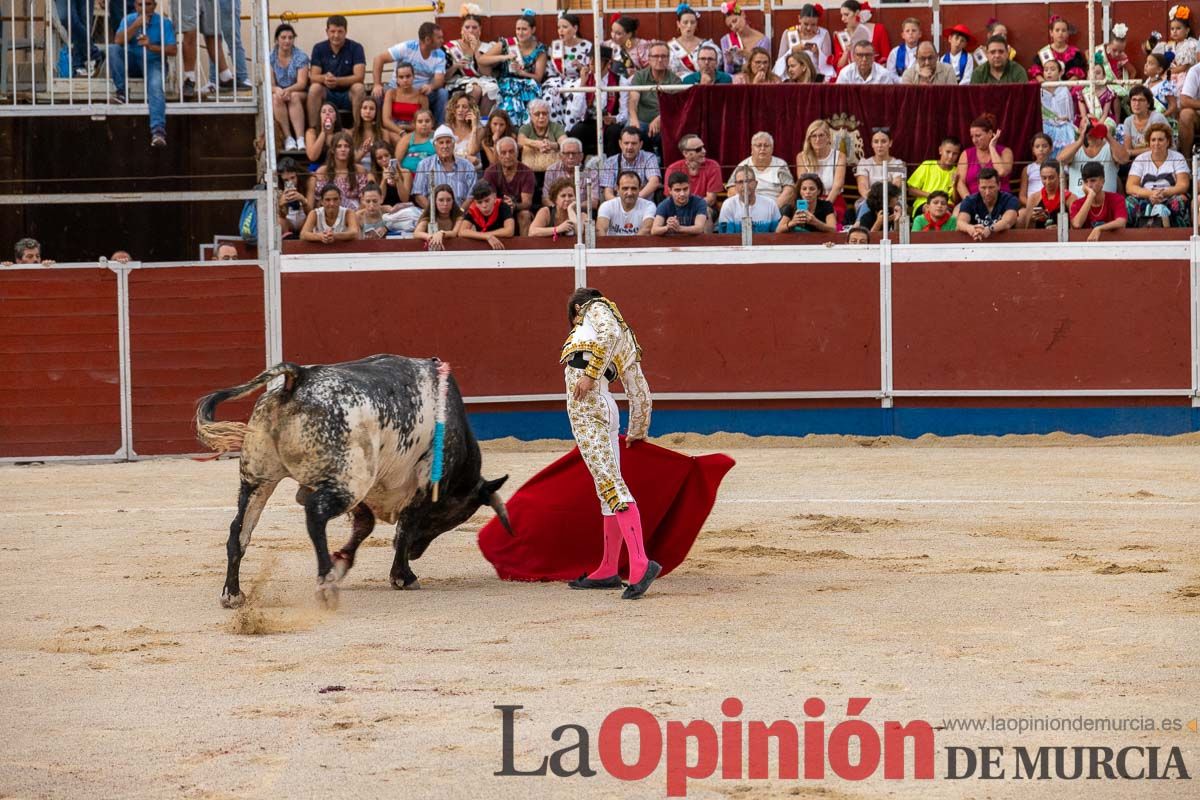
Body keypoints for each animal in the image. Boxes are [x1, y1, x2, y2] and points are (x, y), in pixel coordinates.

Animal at [195, 352, 511, 609]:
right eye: (457, 516)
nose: (416, 553)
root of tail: (298, 379)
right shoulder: (418, 486)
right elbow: (405, 526)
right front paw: (403, 576)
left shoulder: (366, 490)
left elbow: (364, 525)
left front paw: (343, 561)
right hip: (346, 483)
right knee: (315, 515)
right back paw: (326, 585)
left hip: (258, 479)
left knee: (239, 531)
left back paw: (233, 594)